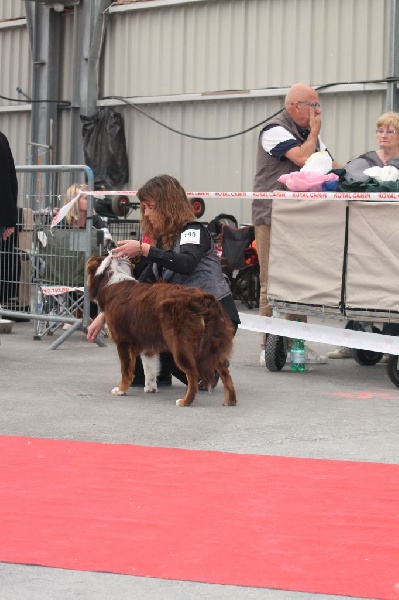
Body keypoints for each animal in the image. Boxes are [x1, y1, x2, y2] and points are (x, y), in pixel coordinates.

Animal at [86, 253, 238, 408]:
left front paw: (121, 389)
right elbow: (150, 368)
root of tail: (204, 300)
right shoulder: (147, 343)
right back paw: (230, 400)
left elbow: (126, 369)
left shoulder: (123, 341)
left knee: (193, 373)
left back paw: (185, 401)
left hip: (181, 345)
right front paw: (151, 388)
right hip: (213, 344)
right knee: (225, 371)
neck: (110, 280)